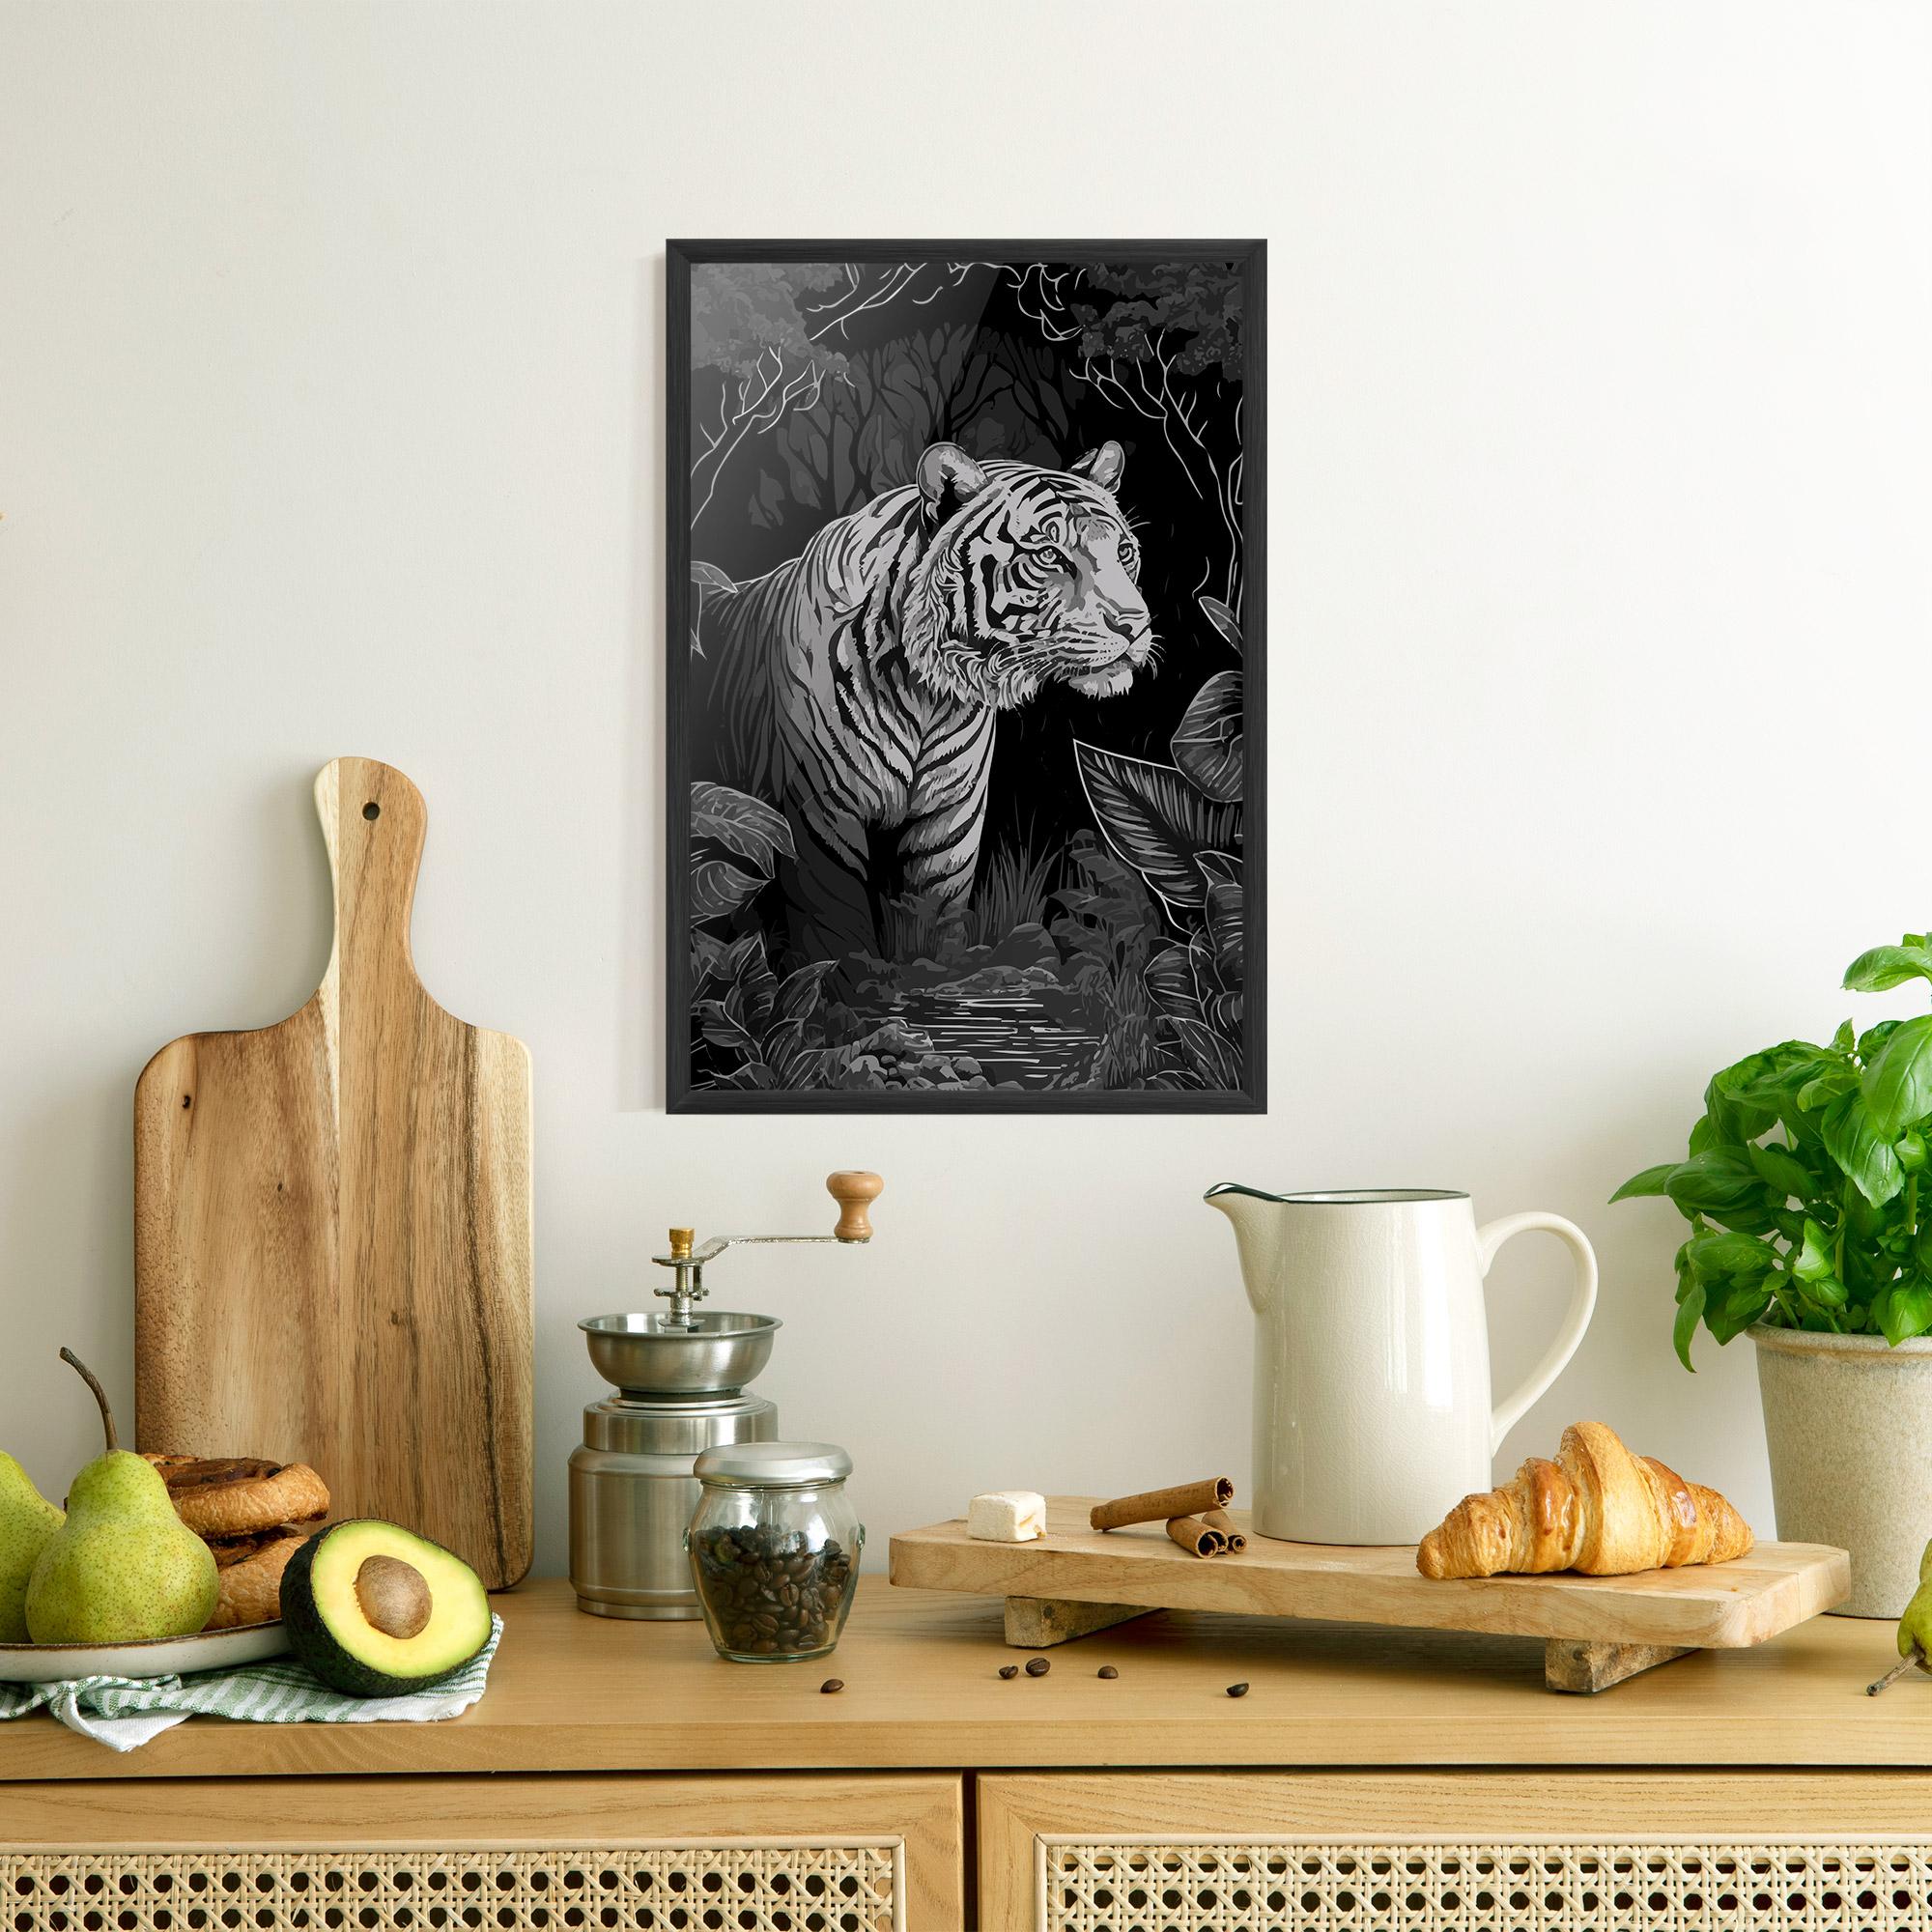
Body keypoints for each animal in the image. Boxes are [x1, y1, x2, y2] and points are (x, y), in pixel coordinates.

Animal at [692, 439, 1153, 964]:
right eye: (1050, 555)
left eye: (1123, 552)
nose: (1135, 624)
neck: (928, 695)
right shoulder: (819, 818)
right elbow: (835, 936)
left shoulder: (949, 822)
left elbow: (934, 924)